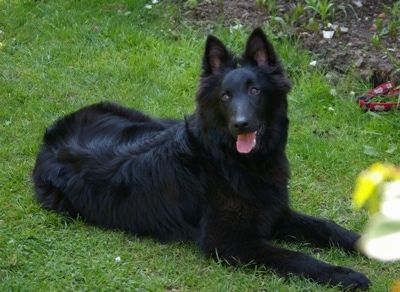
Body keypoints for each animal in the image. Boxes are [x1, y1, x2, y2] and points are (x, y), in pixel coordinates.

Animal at [32, 27, 370, 290]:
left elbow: (327, 227)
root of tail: (51, 135)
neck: (230, 162)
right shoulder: (229, 243)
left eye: (255, 90)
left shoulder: (274, 211)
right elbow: (296, 257)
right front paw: (343, 274)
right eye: (225, 96)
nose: (241, 124)